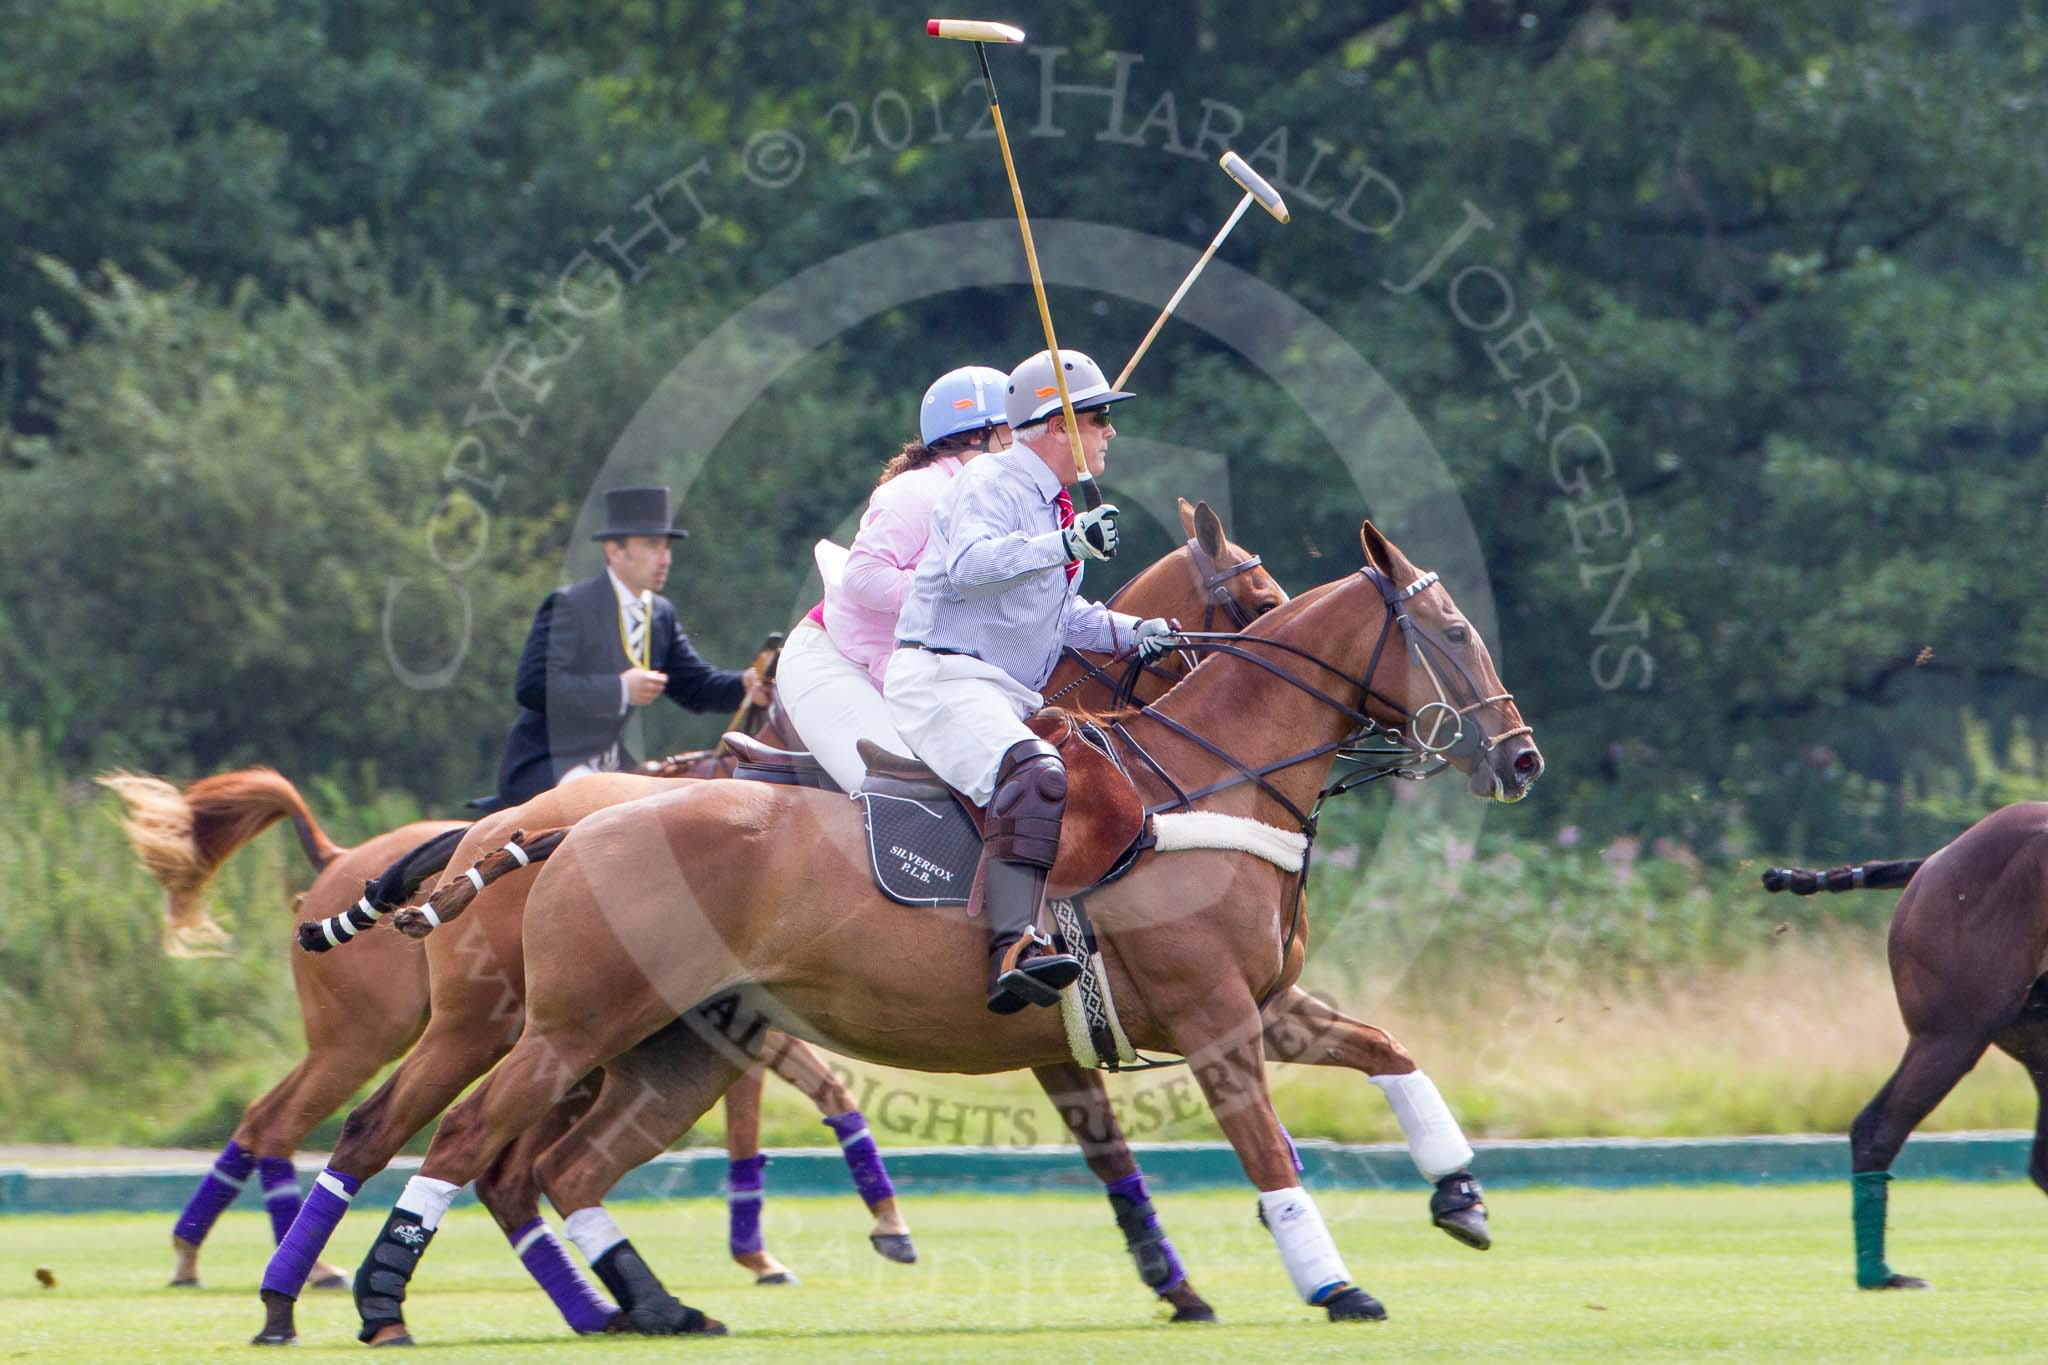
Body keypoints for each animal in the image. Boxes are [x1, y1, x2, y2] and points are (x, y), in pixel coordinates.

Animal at [311, 523, 1540, 1342]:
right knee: (465, 1142)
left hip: (681, 1046)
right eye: (1450, 630)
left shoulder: (1262, 1005)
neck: (1209, 778)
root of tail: (559, 826)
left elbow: (1388, 1050)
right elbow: (1268, 1154)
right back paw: (374, 1300)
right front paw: (1331, 1283)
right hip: (562, 1026)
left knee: (556, 1167)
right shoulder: (1212, 1017)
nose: (1519, 759)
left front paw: (1460, 1197)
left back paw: (648, 1305)